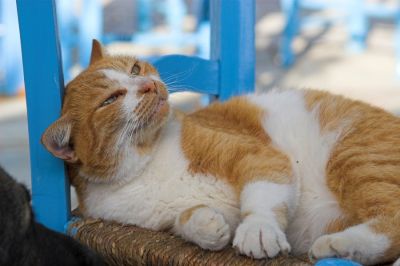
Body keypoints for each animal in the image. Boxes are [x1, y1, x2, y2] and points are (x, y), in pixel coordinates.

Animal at [40, 40, 400, 266]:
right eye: (110, 100)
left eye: (135, 69)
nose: (148, 85)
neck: (147, 165)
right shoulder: (160, 222)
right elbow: (185, 221)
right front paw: (206, 226)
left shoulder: (257, 155)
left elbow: (261, 197)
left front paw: (257, 230)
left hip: (356, 156)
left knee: (392, 221)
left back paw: (337, 246)